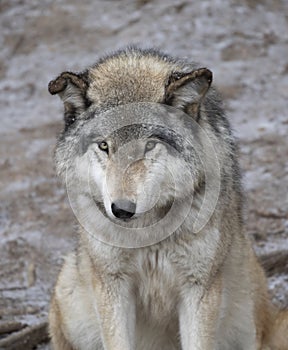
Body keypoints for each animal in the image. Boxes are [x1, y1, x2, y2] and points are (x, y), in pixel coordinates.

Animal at [48, 47, 286, 350]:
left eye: (149, 145)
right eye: (104, 146)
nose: (122, 210)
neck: (149, 234)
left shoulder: (199, 289)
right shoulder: (113, 285)